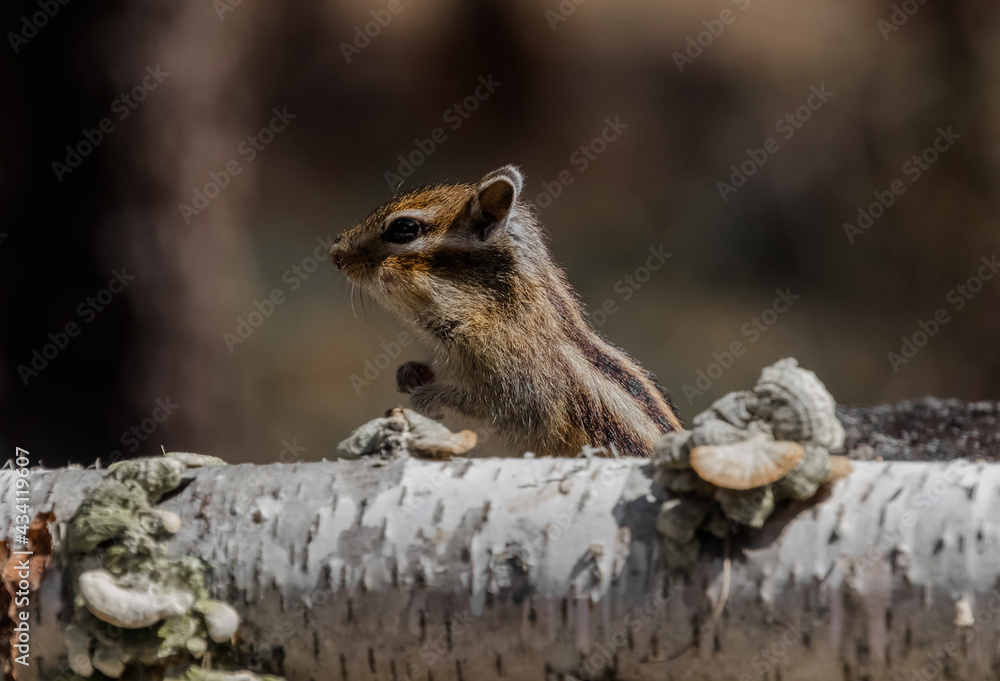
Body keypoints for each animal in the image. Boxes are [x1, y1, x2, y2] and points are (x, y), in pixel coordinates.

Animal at [330, 165, 683, 457]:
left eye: (404, 229)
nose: (335, 251)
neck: (497, 308)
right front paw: (410, 373)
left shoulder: (521, 384)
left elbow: (497, 408)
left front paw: (427, 397)